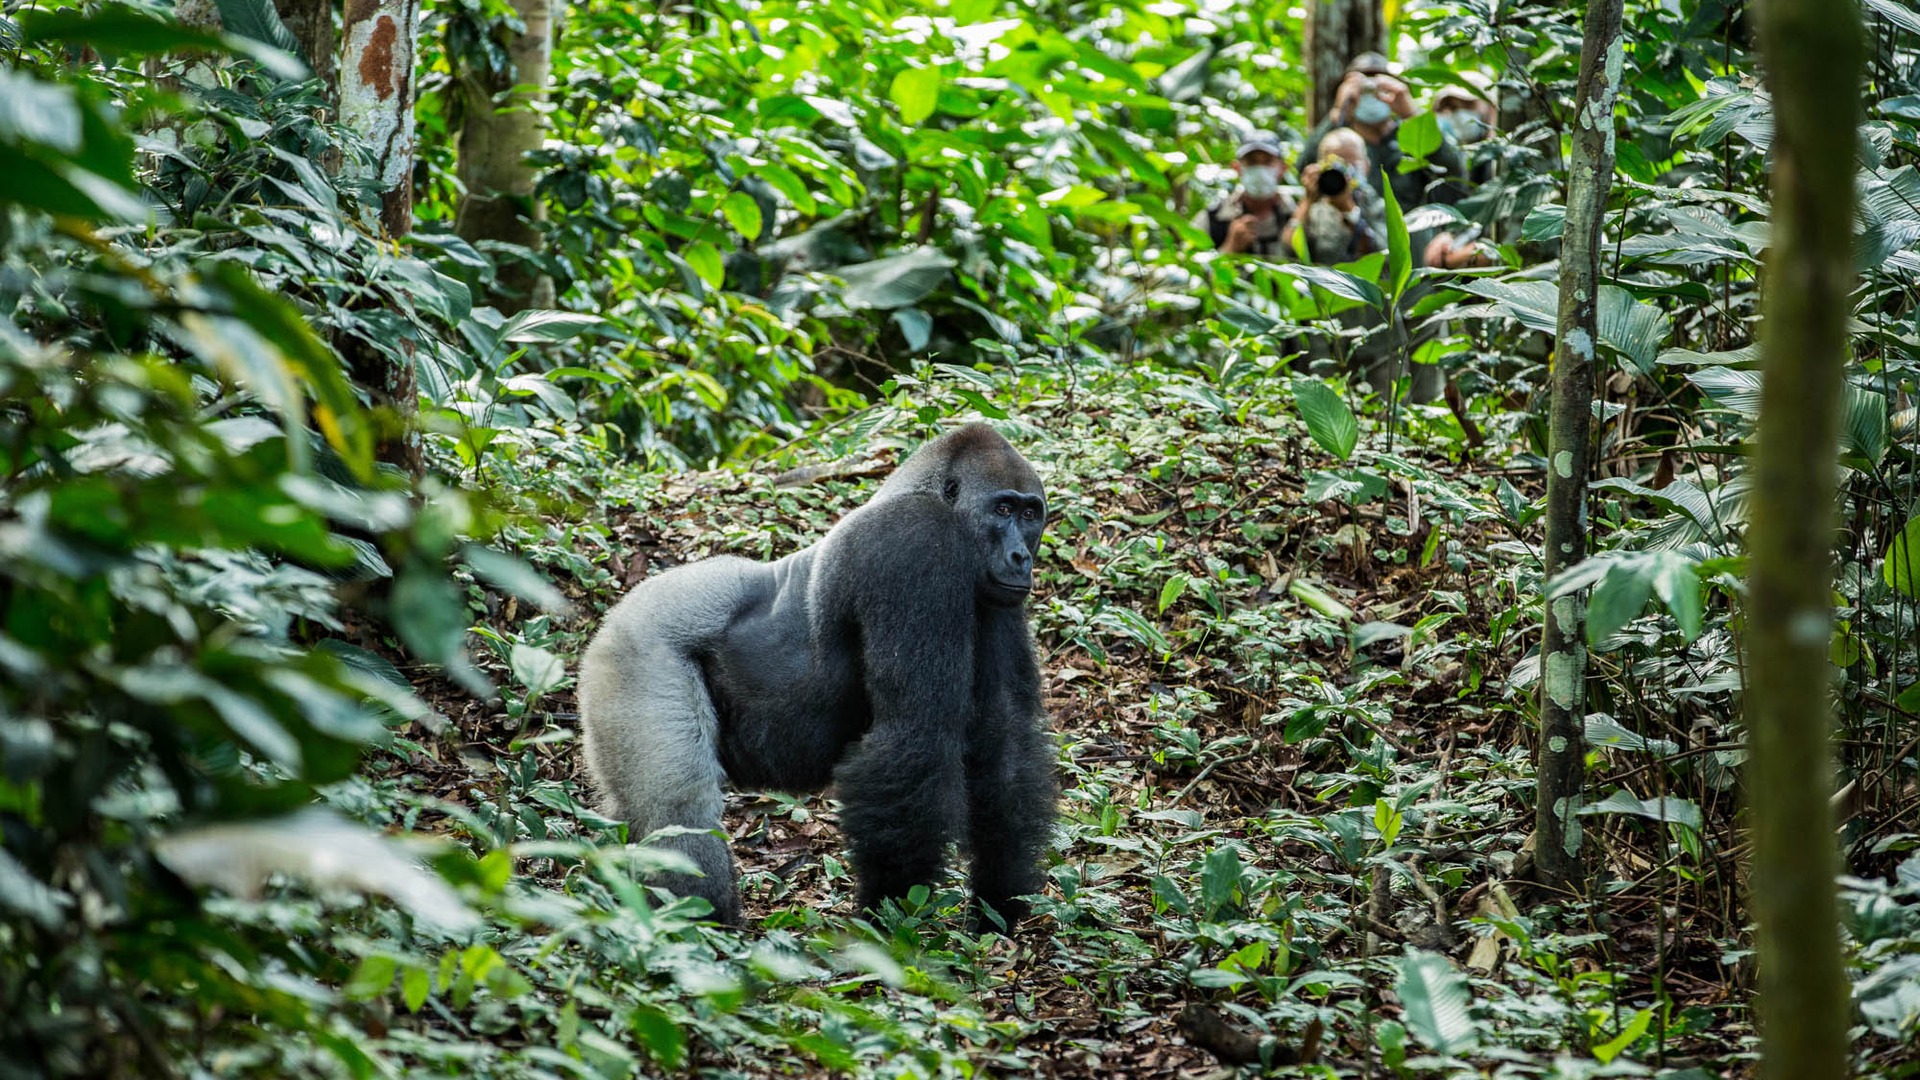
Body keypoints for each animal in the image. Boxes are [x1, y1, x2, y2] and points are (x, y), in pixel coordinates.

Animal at [577, 423, 1057, 928]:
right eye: (1002, 509)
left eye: (1030, 514)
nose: (1021, 557)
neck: (921, 492)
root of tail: (614, 615)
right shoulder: (915, 544)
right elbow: (915, 735)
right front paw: (891, 914)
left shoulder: (995, 597)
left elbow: (1004, 739)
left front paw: (1000, 901)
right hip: (636, 649)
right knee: (678, 809)